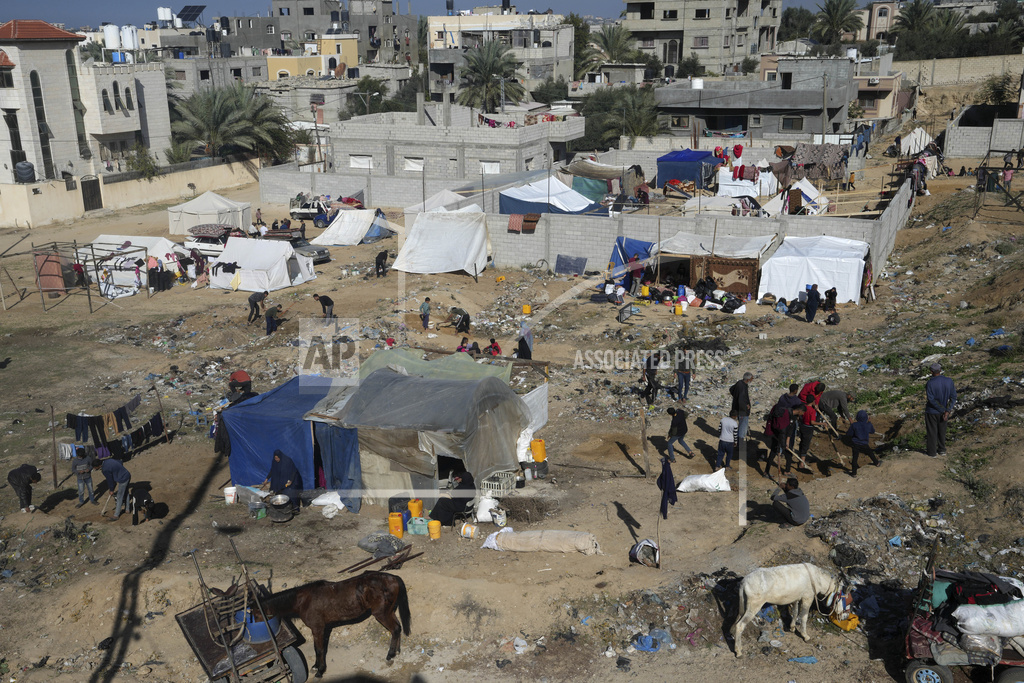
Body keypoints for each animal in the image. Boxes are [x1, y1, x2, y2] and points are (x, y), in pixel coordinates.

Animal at [260, 573, 411, 679]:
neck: (303, 600)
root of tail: (393, 578)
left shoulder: (318, 628)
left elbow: (319, 649)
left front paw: (320, 671)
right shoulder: (319, 629)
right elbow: (316, 648)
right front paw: (315, 666)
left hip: (381, 614)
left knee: (395, 629)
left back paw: (390, 656)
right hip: (389, 611)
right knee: (398, 628)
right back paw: (397, 651)